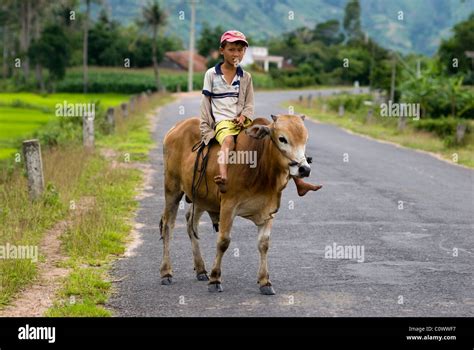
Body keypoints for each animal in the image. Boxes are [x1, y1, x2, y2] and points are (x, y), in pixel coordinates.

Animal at [161, 113, 312, 294]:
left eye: (305, 139)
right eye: (282, 139)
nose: (304, 169)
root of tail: (176, 128)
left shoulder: (269, 210)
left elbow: (264, 244)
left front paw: (265, 281)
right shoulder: (228, 205)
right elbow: (223, 241)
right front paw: (215, 279)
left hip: (200, 197)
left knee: (192, 224)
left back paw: (201, 269)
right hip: (172, 189)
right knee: (168, 226)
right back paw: (166, 272)